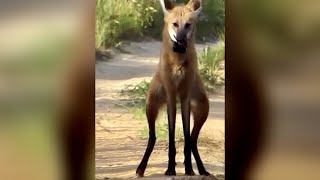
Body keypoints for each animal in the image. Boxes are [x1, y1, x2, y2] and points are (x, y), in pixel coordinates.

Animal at [136, 0, 211, 177]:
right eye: (175, 24)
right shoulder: (171, 94)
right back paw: (141, 168)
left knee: (192, 140)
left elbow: (185, 135)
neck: (178, 63)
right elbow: (171, 135)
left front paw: (189, 169)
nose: (181, 41)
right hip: (151, 105)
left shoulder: (185, 96)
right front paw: (170, 169)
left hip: (203, 109)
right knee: (152, 137)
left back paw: (201, 169)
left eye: (188, 25)